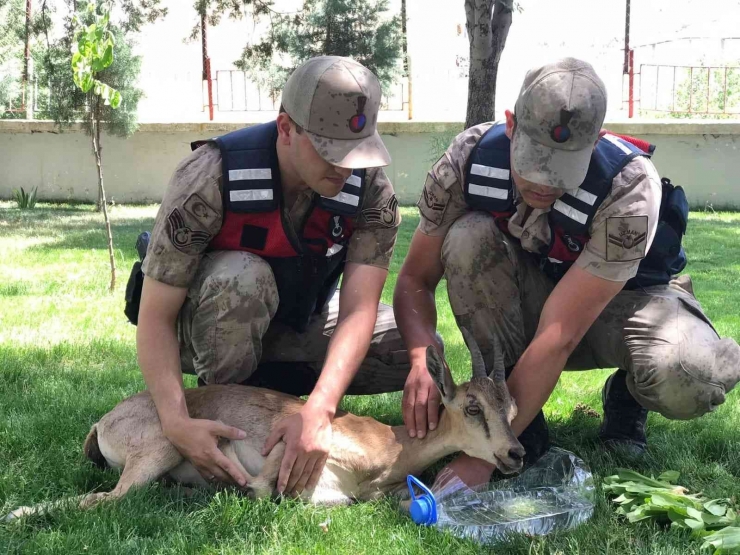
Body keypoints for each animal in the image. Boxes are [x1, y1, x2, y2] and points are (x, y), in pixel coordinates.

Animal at [7, 328, 528, 520]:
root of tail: (103, 422)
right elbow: (264, 490)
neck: (386, 449)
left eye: (511, 410)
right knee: (103, 498)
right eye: (472, 406)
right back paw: (13, 514)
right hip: (159, 450)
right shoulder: (283, 458)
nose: (515, 453)